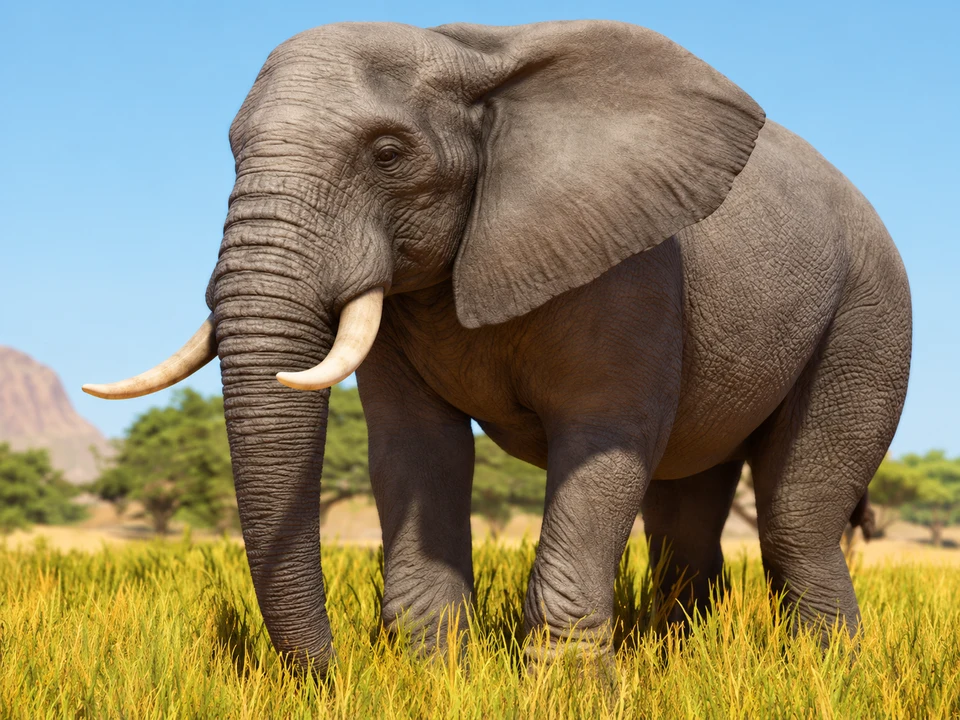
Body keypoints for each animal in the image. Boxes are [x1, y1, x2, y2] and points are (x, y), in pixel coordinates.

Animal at [84, 20, 911, 675]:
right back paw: (683, 662)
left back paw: (830, 676)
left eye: (388, 153)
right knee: (685, 520)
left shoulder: (632, 270)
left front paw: (565, 696)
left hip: (868, 316)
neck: (474, 63)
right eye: (232, 151)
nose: (332, 675)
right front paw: (433, 680)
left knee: (795, 519)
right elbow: (419, 451)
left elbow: (604, 446)